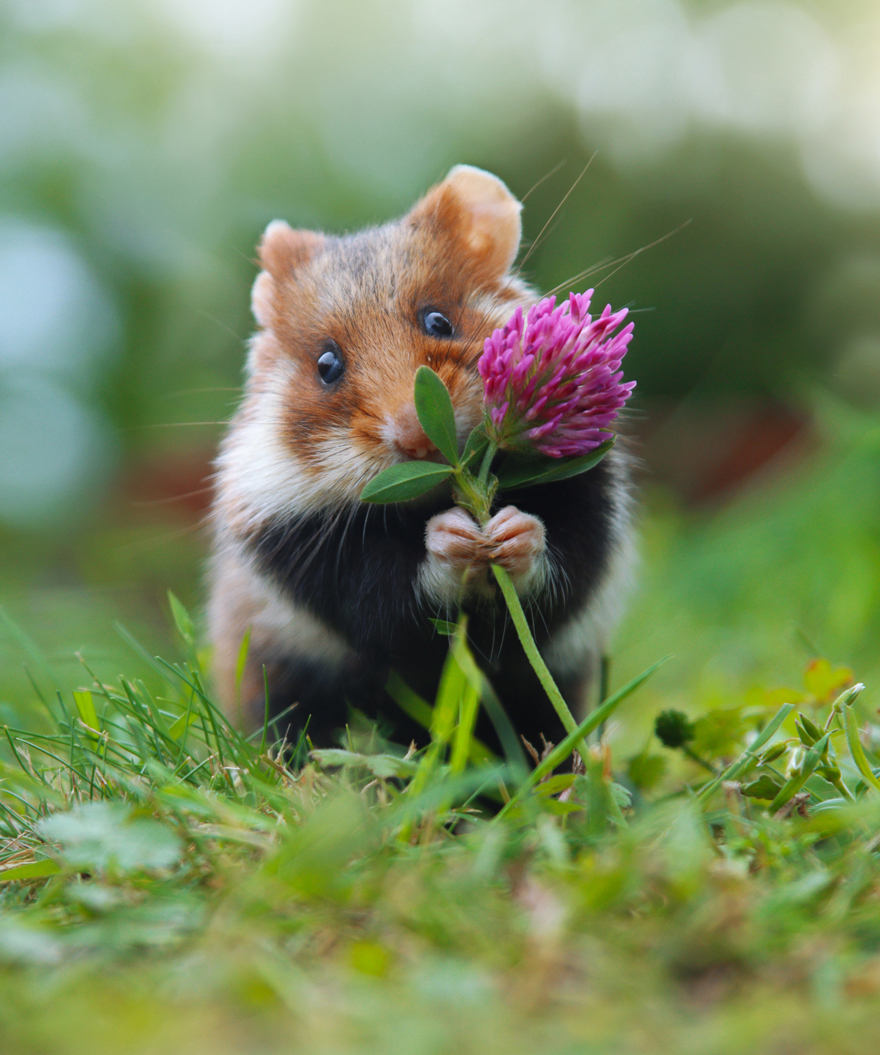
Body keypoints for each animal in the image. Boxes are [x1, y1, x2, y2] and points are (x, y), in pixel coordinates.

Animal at [207, 165, 635, 755]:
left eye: (438, 321)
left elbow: (558, 558)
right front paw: (453, 537)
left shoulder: (592, 505)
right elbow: (390, 592)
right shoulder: (308, 553)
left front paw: (508, 532)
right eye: (326, 365)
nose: (416, 438)